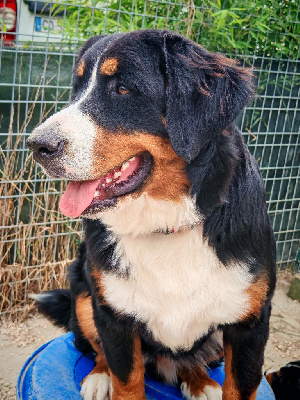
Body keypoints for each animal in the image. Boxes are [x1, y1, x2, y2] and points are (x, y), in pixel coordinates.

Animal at [28, 29, 276, 398]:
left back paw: (201, 381)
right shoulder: (114, 316)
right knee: (95, 347)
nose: (37, 145)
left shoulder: (250, 325)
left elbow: (239, 386)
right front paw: (110, 379)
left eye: (123, 88)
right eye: (77, 87)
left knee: (192, 360)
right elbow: (125, 379)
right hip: (85, 292)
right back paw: (99, 378)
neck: (166, 223)